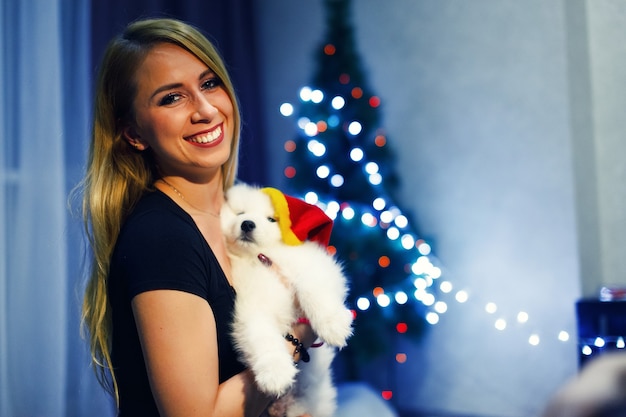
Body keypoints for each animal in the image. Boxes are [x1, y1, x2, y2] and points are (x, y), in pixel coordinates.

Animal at [221, 183, 352, 416]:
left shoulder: (315, 266)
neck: (258, 258)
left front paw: (333, 325)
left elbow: (312, 288)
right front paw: (275, 373)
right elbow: (263, 338)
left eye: (271, 219)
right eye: (240, 213)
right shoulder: (252, 309)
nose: (247, 224)